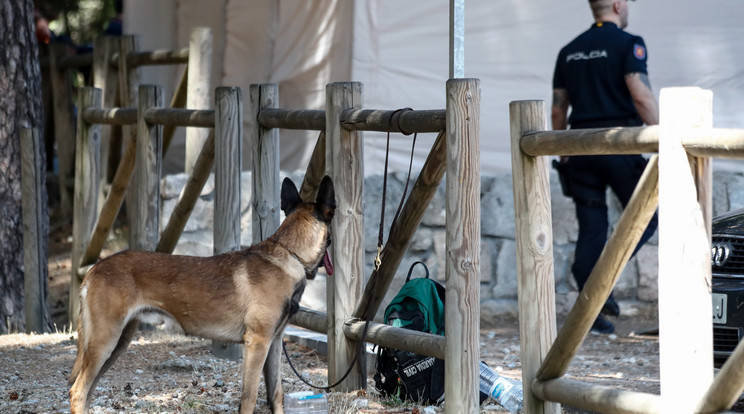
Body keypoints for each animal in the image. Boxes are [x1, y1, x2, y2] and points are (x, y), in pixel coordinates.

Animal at [68, 175, 336, 414]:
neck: (290, 254)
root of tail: (95, 268)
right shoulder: (257, 344)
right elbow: (249, 398)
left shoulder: (274, 343)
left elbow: (276, 394)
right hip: (105, 342)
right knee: (78, 392)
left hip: (116, 344)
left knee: (87, 392)